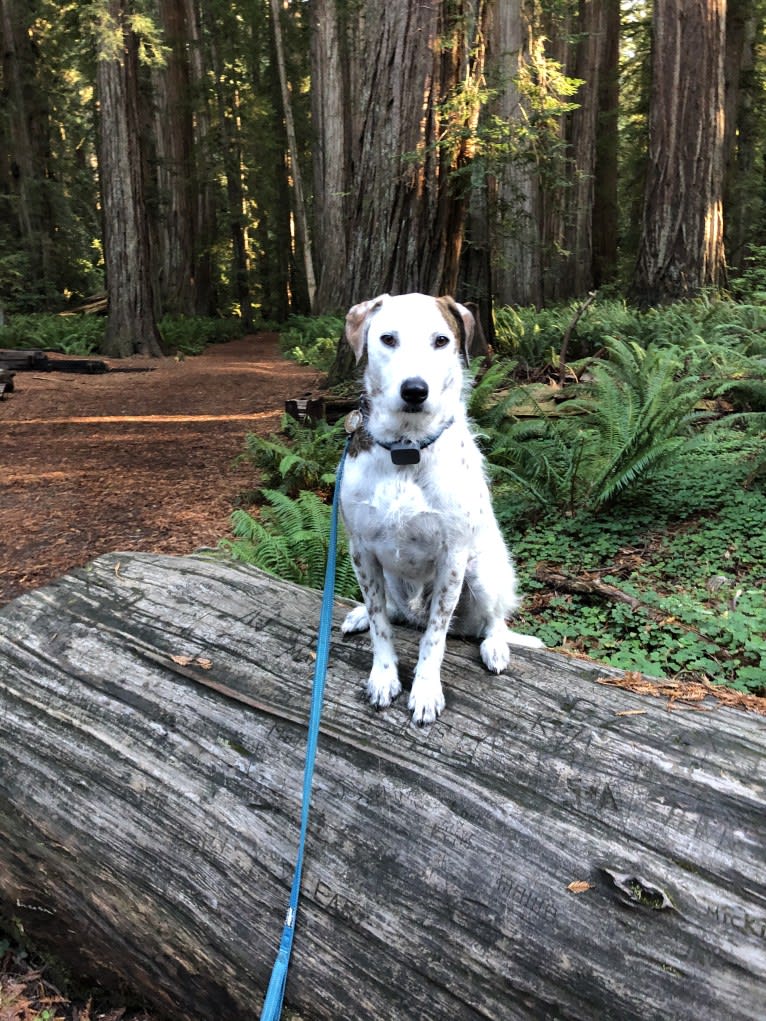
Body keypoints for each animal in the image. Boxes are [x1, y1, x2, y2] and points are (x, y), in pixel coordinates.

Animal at [339, 292, 543, 722]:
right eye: (387, 338)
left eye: (441, 340)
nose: (415, 390)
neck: (406, 449)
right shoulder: (362, 550)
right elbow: (381, 623)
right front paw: (384, 675)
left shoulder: (452, 558)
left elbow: (434, 637)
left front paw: (426, 689)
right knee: (392, 610)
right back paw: (360, 613)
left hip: (482, 573)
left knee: (493, 620)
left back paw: (495, 645)